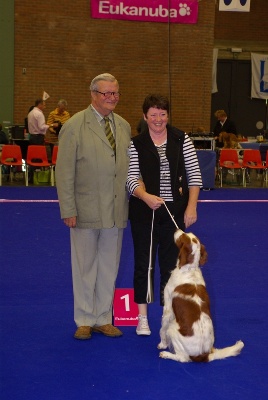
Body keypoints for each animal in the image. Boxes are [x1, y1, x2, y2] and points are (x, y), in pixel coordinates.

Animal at [158, 228, 244, 362]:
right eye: (187, 234)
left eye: (182, 237)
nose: (177, 229)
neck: (190, 269)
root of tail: (205, 354)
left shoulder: (168, 307)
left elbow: (162, 328)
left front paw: (162, 344)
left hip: (173, 329)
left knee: (183, 358)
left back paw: (166, 354)